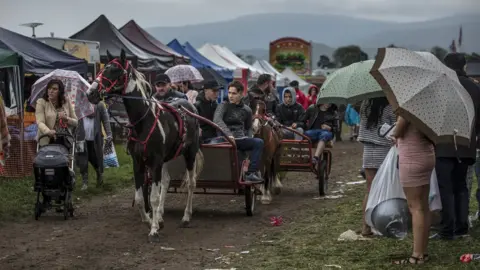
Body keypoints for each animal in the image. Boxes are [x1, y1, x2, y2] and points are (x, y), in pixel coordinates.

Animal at [87, 49, 203, 242]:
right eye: (104, 68)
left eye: (114, 70)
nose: (90, 93)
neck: (144, 121)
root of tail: (189, 108)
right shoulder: (139, 162)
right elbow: (141, 198)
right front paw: (150, 220)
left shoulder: (155, 162)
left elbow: (153, 197)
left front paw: (154, 229)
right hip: (166, 159)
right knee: (166, 181)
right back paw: (161, 216)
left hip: (190, 153)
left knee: (191, 183)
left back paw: (186, 216)